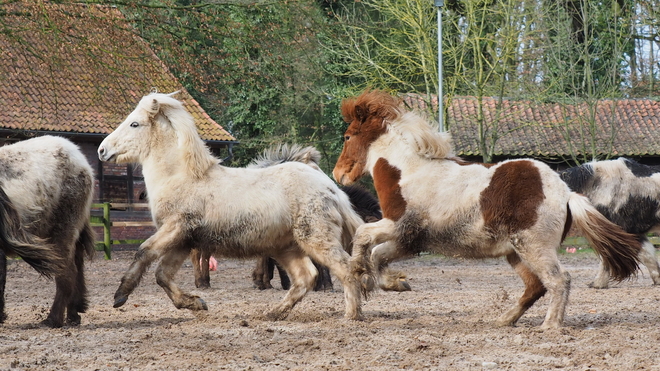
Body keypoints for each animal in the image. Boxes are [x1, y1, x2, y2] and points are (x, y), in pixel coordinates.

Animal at [98, 93, 366, 322]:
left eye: (134, 124)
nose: (102, 150)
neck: (180, 176)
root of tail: (331, 188)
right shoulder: (183, 241)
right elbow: (162, 275)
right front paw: (196, 303)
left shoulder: (175, 229)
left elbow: (143, 252)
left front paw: (120, 296)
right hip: (287, 247)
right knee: (305, 278)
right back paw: (272, 313)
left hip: (316, 239)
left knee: (346, 269)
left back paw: (352, 315)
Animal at [332, 91, 640, 330]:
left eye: (347, 137)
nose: (338, 174)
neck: (408, 172)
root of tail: (565, 192)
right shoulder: (409, 240)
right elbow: (378, 255)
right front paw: (392, 282)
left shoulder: (398, 225)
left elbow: (363, 235)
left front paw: (360, 272)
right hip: (516, 253)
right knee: (536, 286)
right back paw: (504, 319)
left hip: (534, 247)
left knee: (558, 280)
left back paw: (549, 325)